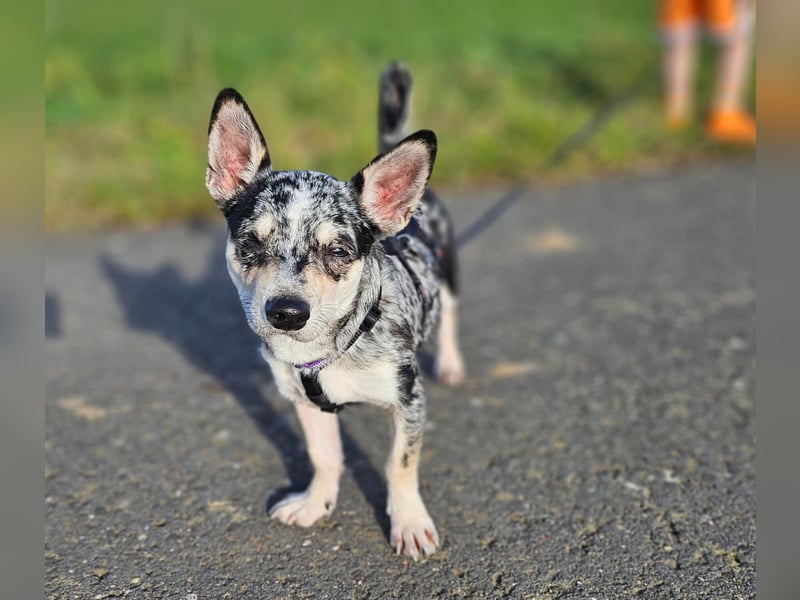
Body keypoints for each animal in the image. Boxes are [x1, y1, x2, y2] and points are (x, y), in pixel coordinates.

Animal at [206, 61, 466, 556]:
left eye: (339, 251)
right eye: (251, 243)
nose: (286, 312)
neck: (337, 346)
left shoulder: (408, 400)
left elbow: (399, 465)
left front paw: (409, 522)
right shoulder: (305, 402)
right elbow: (324, 456)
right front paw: (316, 503)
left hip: (450, 273)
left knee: (450, 316)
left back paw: (451, 363)